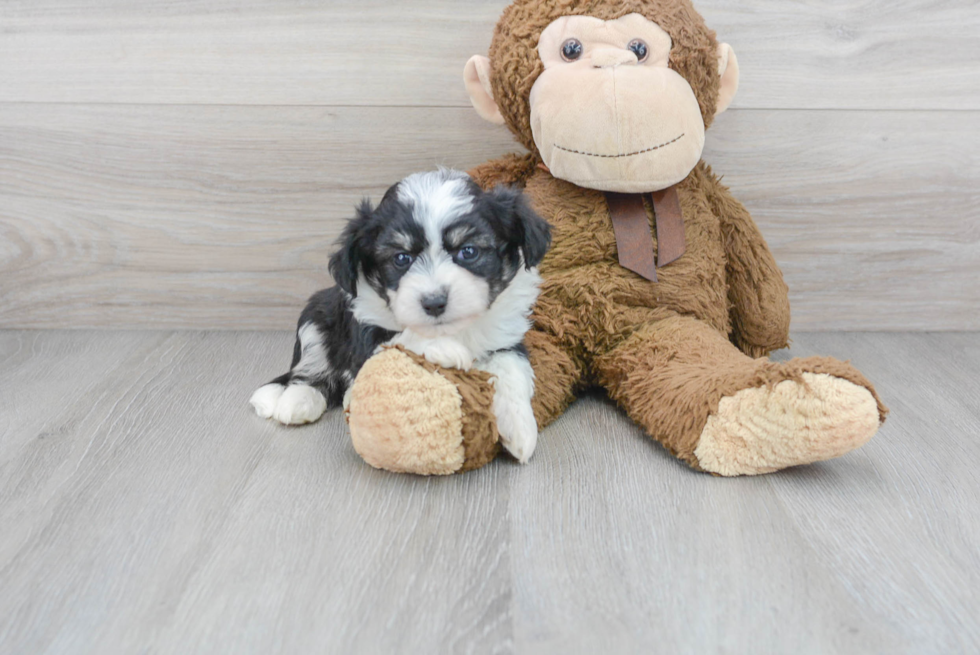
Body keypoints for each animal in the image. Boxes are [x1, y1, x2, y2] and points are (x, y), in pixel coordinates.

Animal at [251, 170, 552, 466]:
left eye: (468, 251)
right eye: (401, 258)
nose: (434, 302)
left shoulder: (506, 336)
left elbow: (512, 368)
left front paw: (520, 428)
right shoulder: (365, 331)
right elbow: (401, 337)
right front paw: (446, 348)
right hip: (314, 318)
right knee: (309, 370)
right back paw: (297, 400)